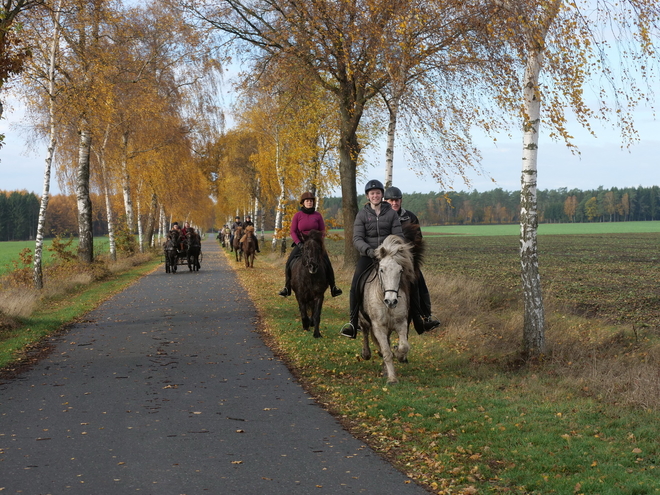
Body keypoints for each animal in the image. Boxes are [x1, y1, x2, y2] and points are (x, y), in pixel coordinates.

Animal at [358, 235, 416, 384]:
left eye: (400, 271)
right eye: (382, 270)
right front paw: (392, 379)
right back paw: (366, 353)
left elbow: (403, 346)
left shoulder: (401, 323)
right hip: (363, 320)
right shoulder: (378, 327)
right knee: (365, 331)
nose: (391, 301)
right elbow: (386, 352)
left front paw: (399, 355)